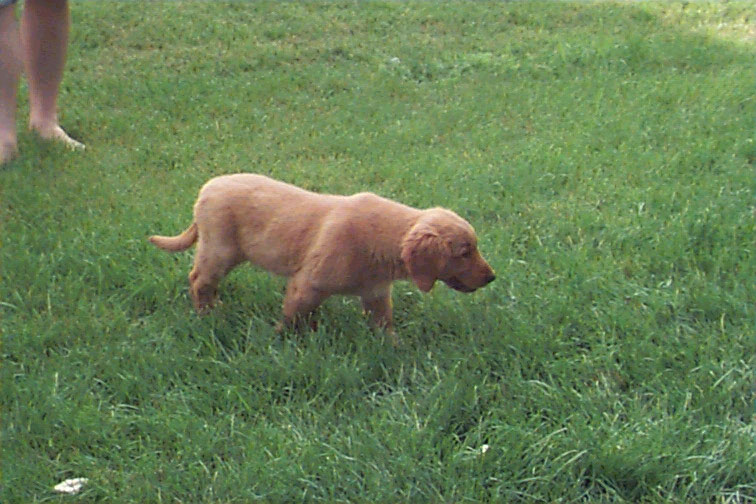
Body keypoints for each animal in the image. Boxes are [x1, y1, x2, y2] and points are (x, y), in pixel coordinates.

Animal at [150, 173, 494, 334]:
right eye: (465, 252)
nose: (492, 277)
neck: (381, 242)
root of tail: (206, 188)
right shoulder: (307, 284)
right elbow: (291, 317)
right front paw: (279, 341)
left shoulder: (375, 293)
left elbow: (384, 325)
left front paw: (395, 350)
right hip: (219, 248)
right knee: (198, 280)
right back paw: (207, 315)